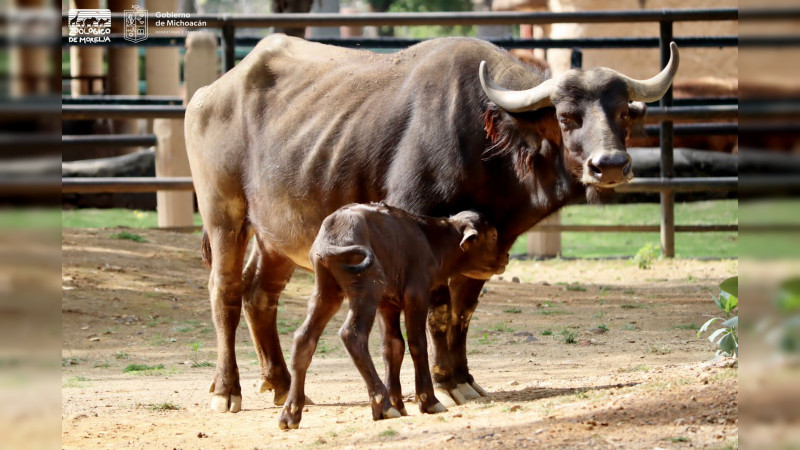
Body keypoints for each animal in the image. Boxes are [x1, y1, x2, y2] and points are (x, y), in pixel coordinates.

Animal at [280, 204, 506, 428]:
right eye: (494, 235)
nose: (505, 257)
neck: (432, 242)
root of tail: (333, 232)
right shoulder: (416, 295)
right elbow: (417, 344)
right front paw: (428, 401)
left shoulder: (387, 303)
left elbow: (392, 346)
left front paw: (398, 402)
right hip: (366, 287)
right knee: (352, 334)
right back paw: (383, 405)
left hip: (328, 291)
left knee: (304, 338)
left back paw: (290, 413)